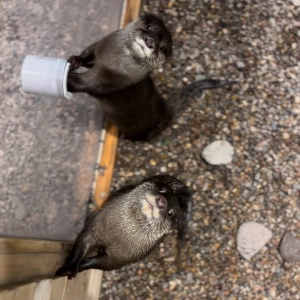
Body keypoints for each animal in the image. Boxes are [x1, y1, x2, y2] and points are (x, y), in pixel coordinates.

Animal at [55, 175, 192, 278]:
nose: (162, 201)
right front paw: (70, 267)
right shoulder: (95, 226)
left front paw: (81, 265)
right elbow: (82, 243)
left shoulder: (122, 258)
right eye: (162, 189)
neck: (117, 234)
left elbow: (103, 264)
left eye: (170, 213)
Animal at [67, 13, 236, 141]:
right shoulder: (99, 46)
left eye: (162, 47)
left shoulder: (112, 79)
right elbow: (88, 53)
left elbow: (89, 84)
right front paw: (75, 60)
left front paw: (68, 80)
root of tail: (164, 111)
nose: (150, 41)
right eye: (149, 27)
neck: (112, 61)